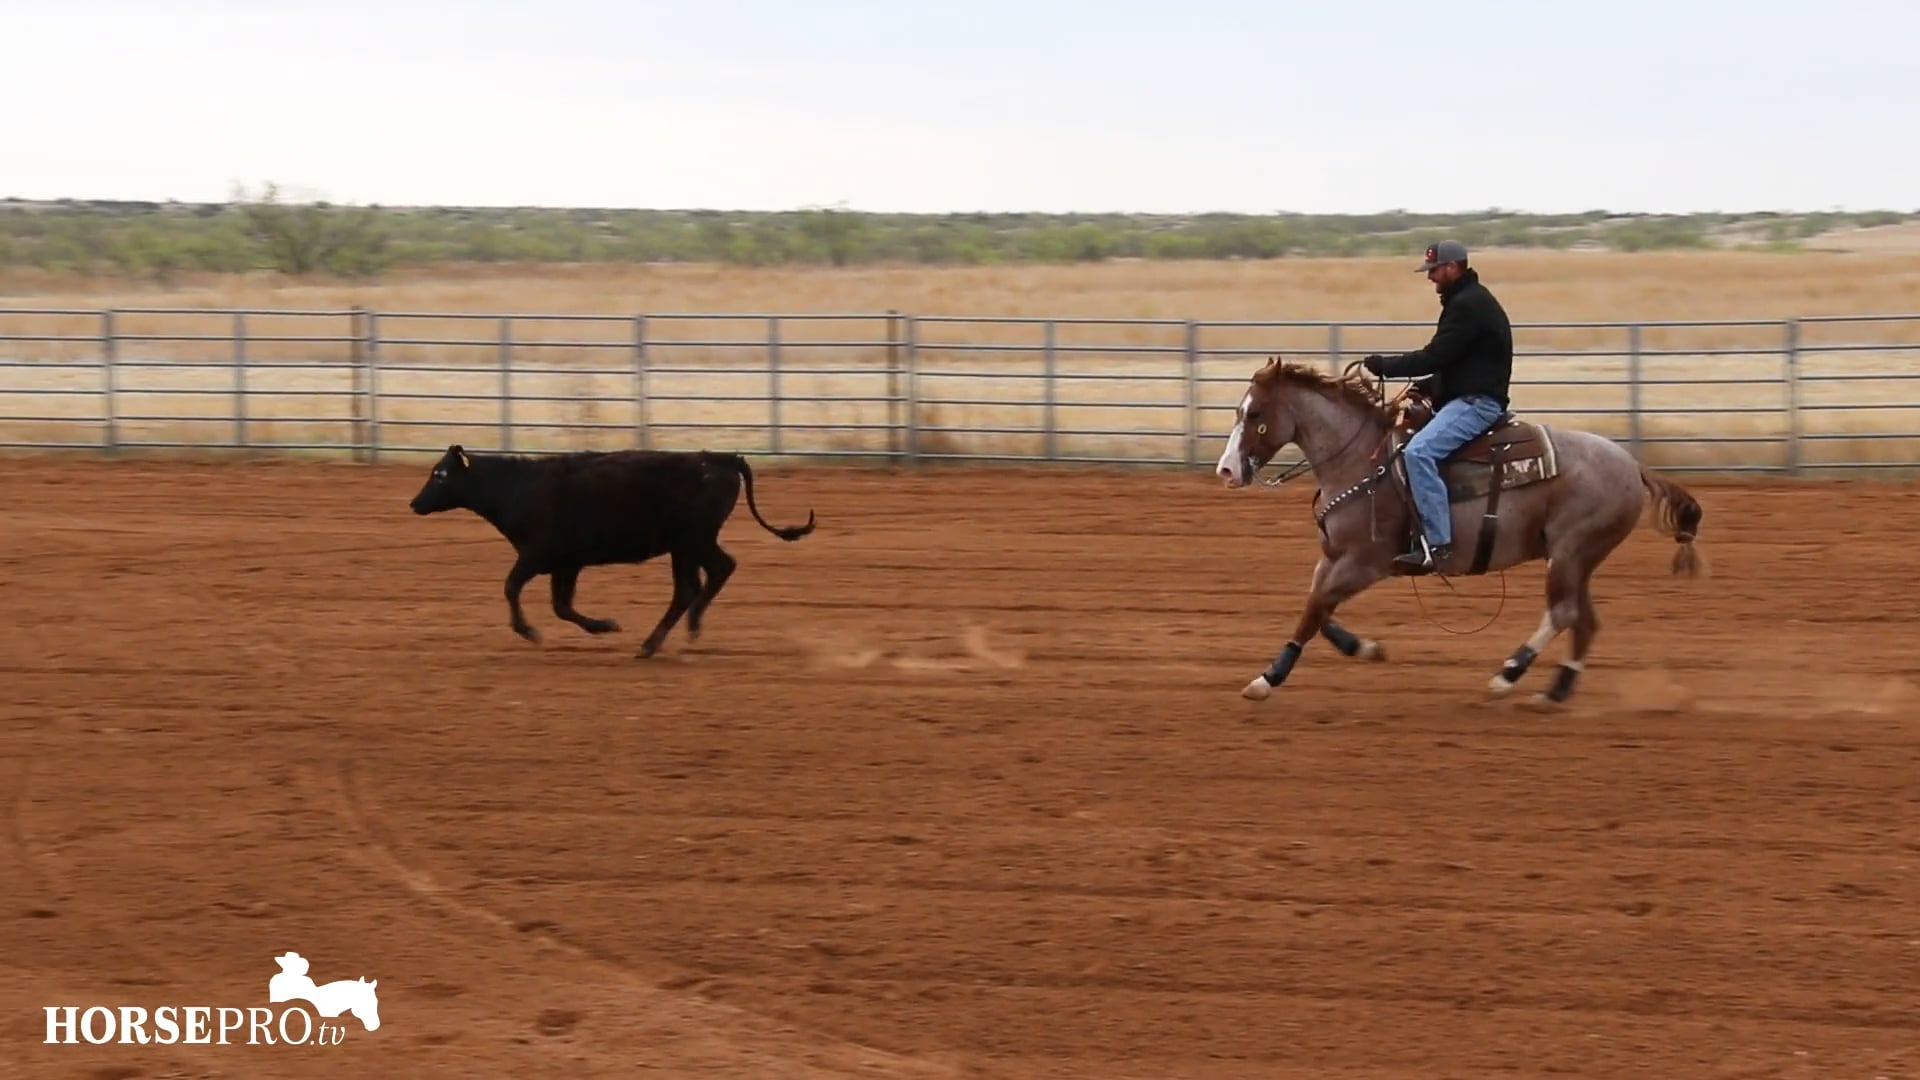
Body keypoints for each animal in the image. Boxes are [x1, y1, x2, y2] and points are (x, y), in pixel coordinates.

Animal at [407, 444, 816, 658]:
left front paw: (530, 632)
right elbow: (562, 605)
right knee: (708, 577)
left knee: (701, 580)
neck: (516, 487)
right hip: (689, 544)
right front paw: (602, 625)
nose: (414, 503)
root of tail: (720, 458)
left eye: (439, 475)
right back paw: (685, 629)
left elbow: (511, 587)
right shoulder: (566, 563)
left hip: (692, 541)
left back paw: (656, 642)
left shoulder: (537, 554)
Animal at [1213, 355, 1705, 708]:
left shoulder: (1364, 563)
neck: (1362, 462)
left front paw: (1267, 678)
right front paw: (1366, 648)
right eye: (1238, 410)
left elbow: (1314, 609)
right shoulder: (1334, 557)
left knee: (1563, 614)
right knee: (1584, 621)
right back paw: (1555, 691)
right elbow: (1319, 608)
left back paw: (1508, 674)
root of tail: (1632, 466)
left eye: (1255, 413)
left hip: (1570, 553)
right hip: (1577, 560)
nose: (1226, 470)